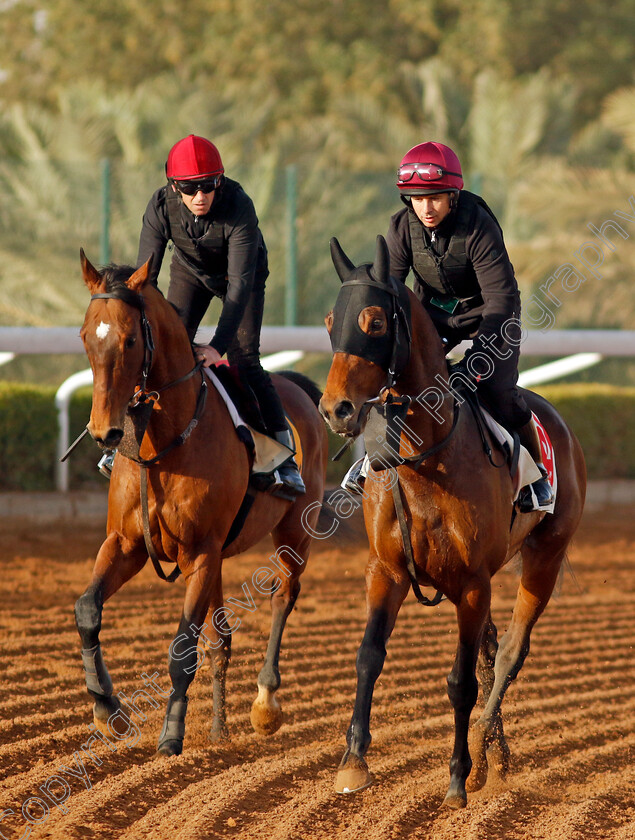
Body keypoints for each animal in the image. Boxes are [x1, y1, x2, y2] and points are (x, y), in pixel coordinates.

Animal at [320, 235, 588, 808]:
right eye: (331, 320)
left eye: (375, 322)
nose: (336, 409)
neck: (424, 463)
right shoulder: (387, 571)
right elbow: (368, 656)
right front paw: (353, 763)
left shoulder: (471, 583)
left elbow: (461, 682)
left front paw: (459, 777)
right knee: (492, 653)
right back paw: (494, 751)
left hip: (546, 555)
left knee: (508, 653)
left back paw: (485, 745)